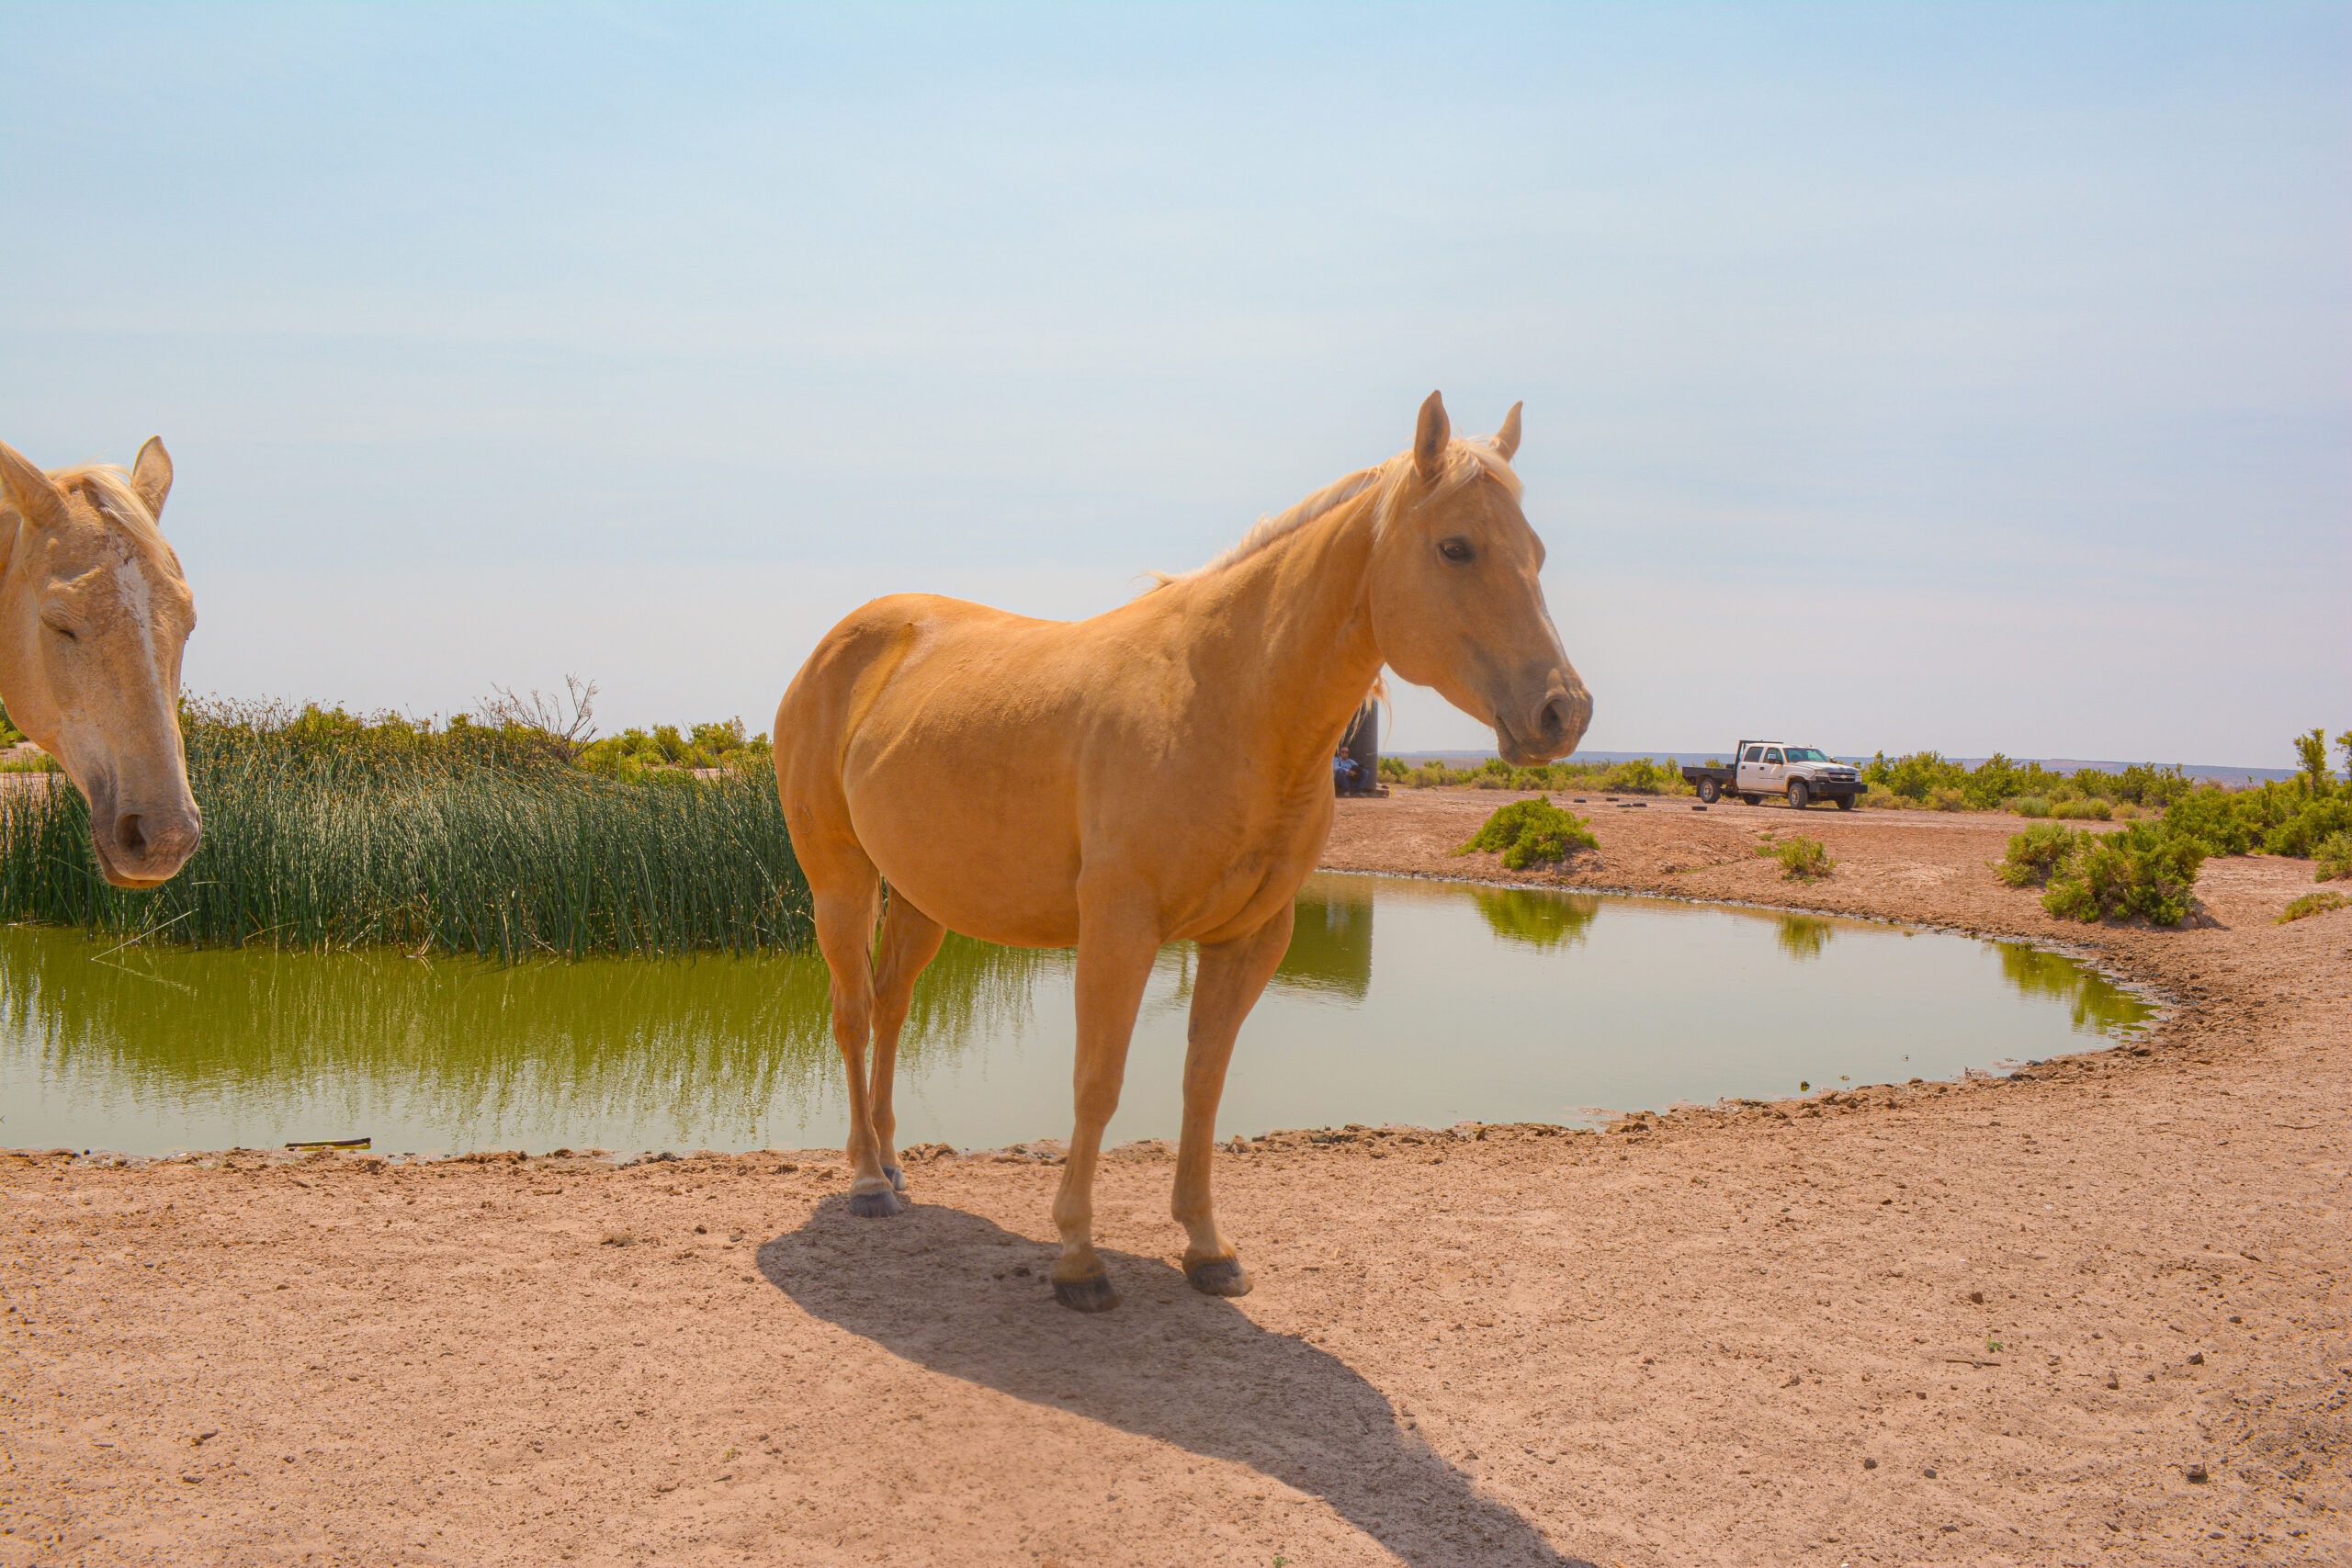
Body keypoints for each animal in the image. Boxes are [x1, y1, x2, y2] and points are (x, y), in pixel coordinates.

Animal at [775, 392, 1590, 1311]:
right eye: (1456, 546)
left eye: (1536, 553)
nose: (1564, 711)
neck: (1225, 698)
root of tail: (843, 644)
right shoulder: (1119, 931)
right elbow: (1097, 1082)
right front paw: (1079, 1256)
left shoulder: (1248, 939)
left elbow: (1204, 1085)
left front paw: (1207, 1246)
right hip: (841, 882)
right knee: (851, 1011)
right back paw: (865, 1182)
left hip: (919, 897)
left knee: (890, 1009)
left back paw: (891, 1163)